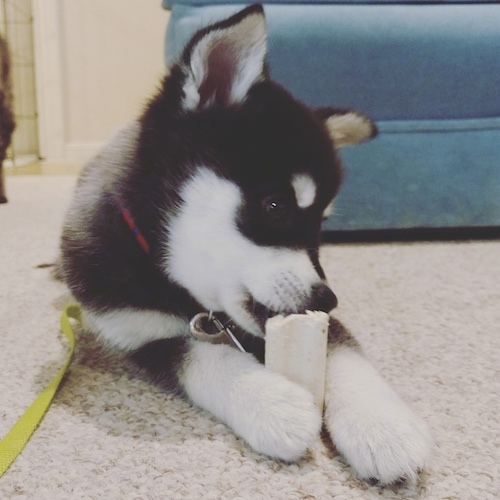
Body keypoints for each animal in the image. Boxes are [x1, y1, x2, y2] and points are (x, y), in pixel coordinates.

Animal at [60, 4, 432, 484]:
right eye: (276, 206)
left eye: (321, 225)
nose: (327, 298)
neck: (182, 291)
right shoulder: (139, 335)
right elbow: (205, 361)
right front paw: (274, 406)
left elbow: (344, 352)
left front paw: (382, 426)